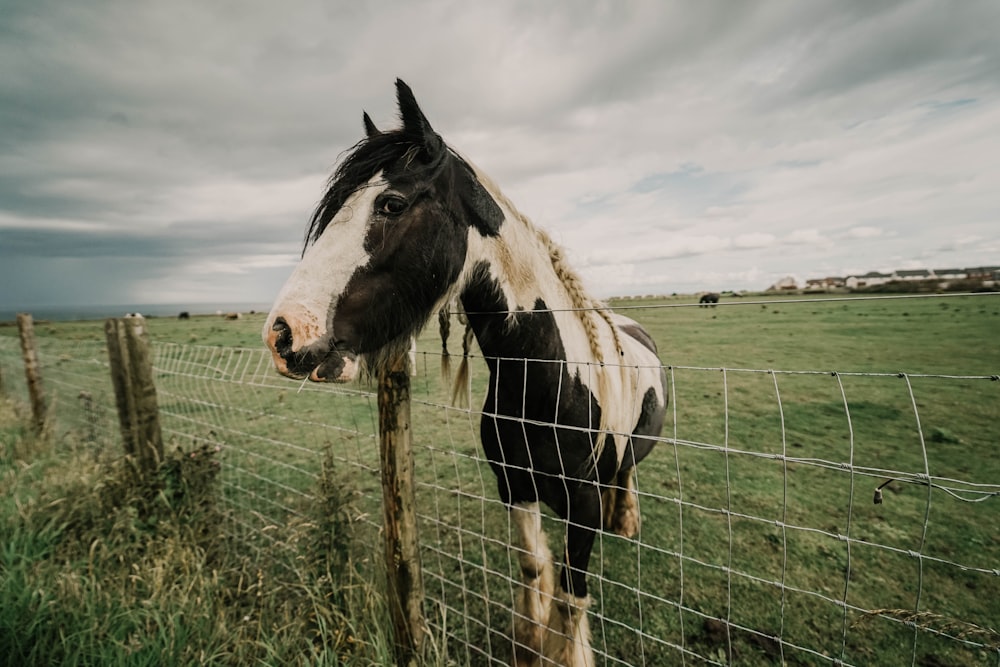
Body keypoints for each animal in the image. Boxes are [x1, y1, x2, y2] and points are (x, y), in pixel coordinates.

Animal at [262, 79, 668, 667]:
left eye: (391, 203)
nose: (283, 334)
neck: (545, 383)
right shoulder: (514, 486)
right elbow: (533, 572)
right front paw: (530, 648)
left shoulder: (583, 505)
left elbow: (572, 598)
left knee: (628, 474)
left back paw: (628, 519)